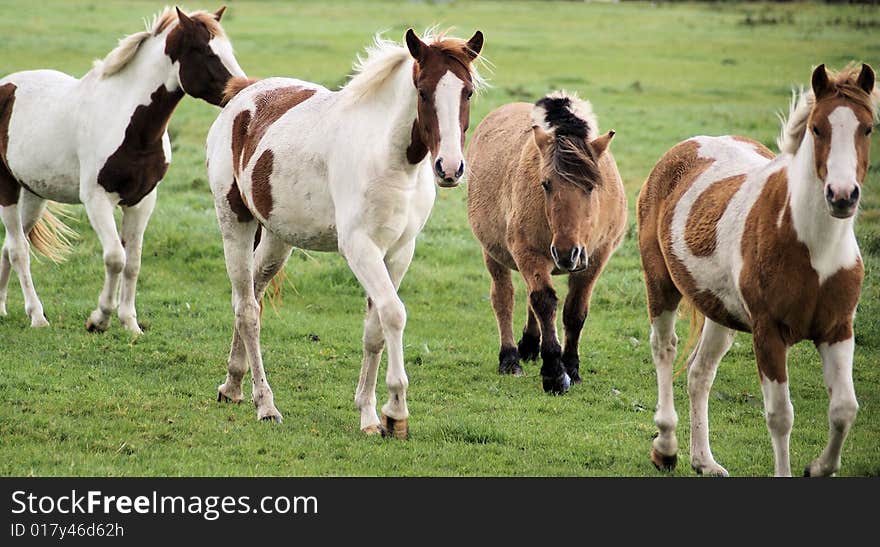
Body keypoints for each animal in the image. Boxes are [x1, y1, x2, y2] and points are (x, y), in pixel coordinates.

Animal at [0, 6, 244, 332]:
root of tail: (7, 86)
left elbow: (133, 262)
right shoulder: (97, 200)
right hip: (7, 188)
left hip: (33, 194)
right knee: (19, 251)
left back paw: (2, 308)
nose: (241, 89)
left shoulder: (141, 201)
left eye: (229, 50)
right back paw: (37, 316)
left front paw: (130, 323)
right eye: (205, 51)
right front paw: (99, 318)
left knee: (9, 246)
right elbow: (115, 257)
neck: (129, 123)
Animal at [205, 31, 484, 436]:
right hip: (235, 223)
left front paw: (370, 414)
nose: (449, 168)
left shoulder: (399, 251)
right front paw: (396, 412)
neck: (389, 160)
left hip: (276, 240)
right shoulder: (360, 249)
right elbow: (393, 314)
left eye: (468, 92)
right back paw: (265, 404)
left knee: (253, 295)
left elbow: (375, 329)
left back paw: (233, 384)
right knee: (247, 311)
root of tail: (243, 95)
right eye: (423, 90)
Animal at [468, 93, 624, 394]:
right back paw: (510, 358)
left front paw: (571, 367)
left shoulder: (596, 259)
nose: (566, 253)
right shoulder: (528, 253)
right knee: (504, 299)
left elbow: (575, 311)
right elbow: (544, 301)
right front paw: (553, 372)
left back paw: (530, 345)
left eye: (591, 186)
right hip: (493, 253)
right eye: (546, 184)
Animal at [640, 63, 880, 476]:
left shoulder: (837, 330)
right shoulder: (768, 334)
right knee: (665, 350)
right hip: (661, 287)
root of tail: (683, 149)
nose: (842, 196)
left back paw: (704, 461)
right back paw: (666, 447)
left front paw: (818, 467)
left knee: (699, 373)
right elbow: (780, 416)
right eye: (817, 128)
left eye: (867, 128)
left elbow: (844, 410)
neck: (814, 250)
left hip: (720, 313)